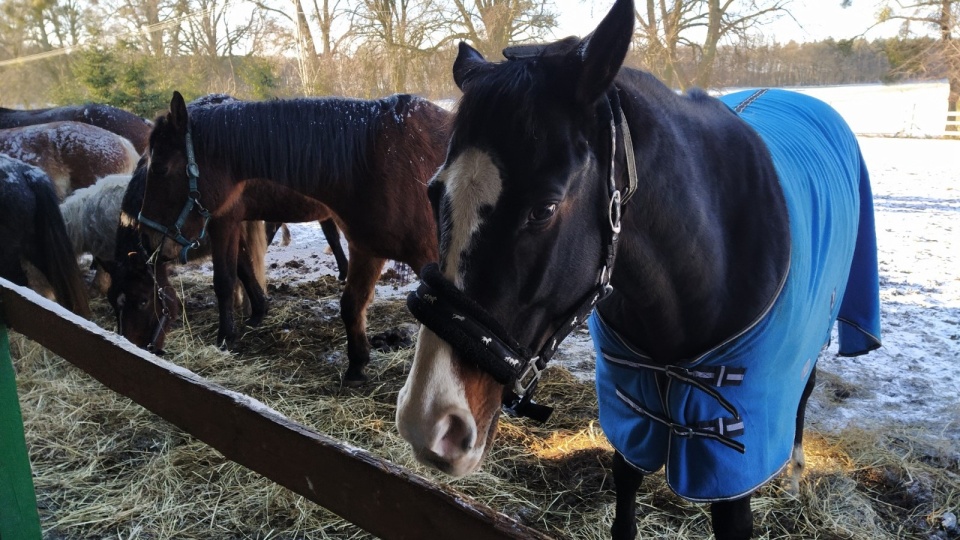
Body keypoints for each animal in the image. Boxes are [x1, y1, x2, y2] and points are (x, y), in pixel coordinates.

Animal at [139, 90, 450, 382]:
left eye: (160, 168)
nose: (147, 240)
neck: (382, 161)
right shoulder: (367, 250)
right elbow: (351, 305)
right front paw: (356, 366)